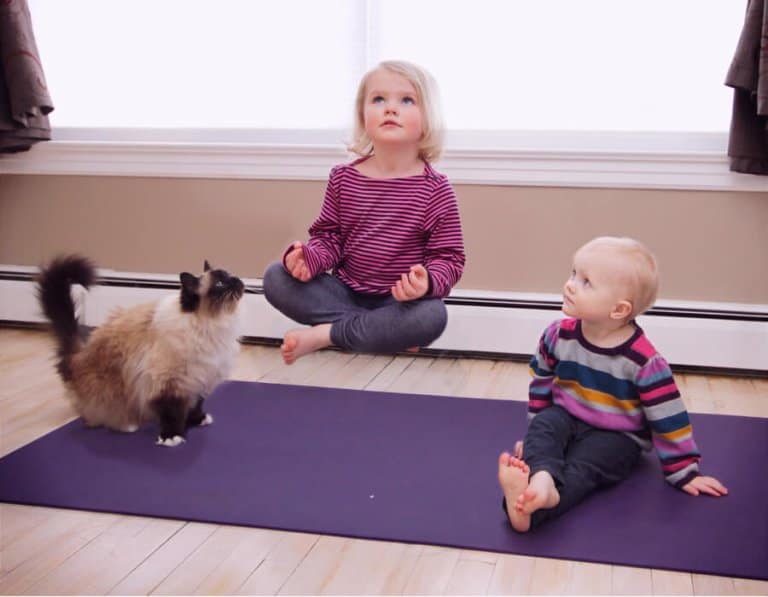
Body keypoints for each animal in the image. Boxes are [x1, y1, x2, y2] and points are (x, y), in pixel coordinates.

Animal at [37, 254, 244, 444]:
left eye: (230, 275)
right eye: (220, 284)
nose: (238, 280)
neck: (211, 324)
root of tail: (76, 356)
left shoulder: (199, 379)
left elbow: (195, 406)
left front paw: (197, 420)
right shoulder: (170, 384)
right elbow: (172, 413)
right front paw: (172, 437)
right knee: (96, 418)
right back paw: (128, 425)